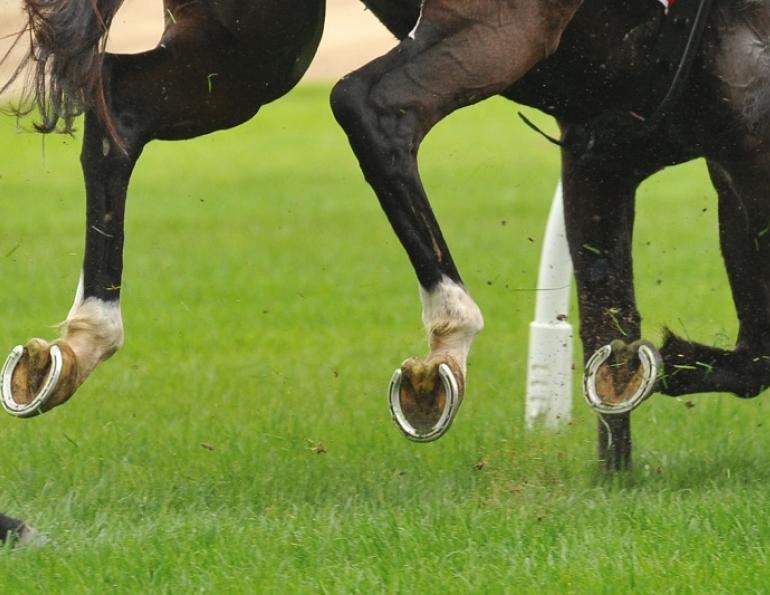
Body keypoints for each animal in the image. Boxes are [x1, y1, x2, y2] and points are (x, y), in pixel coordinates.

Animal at [0, 3, 767, 542]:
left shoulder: (610, 156)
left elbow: (617, 330)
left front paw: (627, 415)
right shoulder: (721, 144)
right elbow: (749, 346)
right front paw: (668, 367)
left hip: (250, 50)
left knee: (119, 107)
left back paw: (80, 341)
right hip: (497, 25)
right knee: (372, 105)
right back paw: (448, 337)